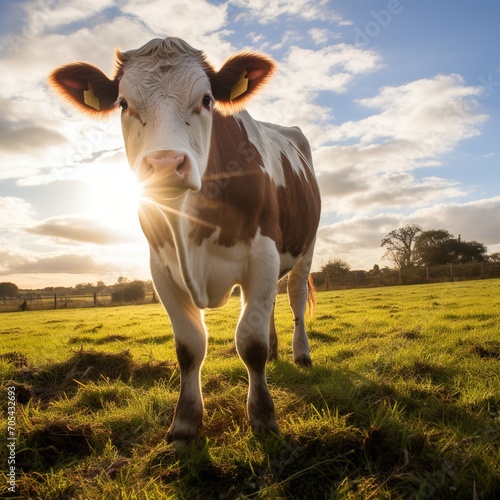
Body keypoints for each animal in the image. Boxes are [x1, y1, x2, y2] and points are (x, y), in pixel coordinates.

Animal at [49, 36, 320, 442]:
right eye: (123, 103)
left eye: (207, 100)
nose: (165, 164)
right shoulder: (161, 267)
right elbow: (190, 346)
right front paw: (185, 423)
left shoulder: (263, 253)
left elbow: (250, 343)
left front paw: (262, 416)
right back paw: (276, 353)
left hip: (306, 247)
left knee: (295, 298)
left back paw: (300, 354)